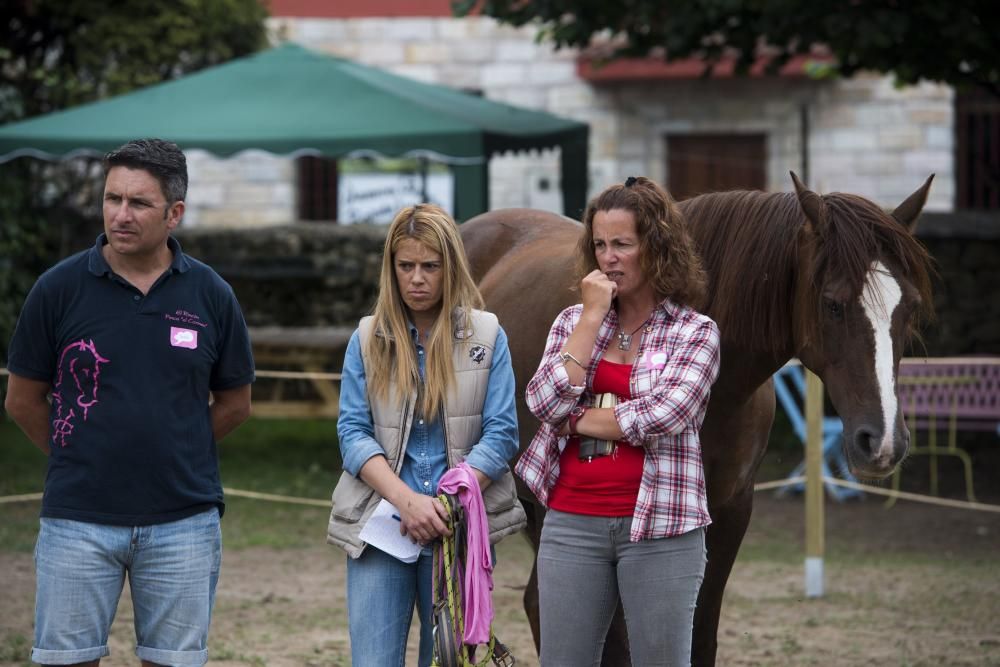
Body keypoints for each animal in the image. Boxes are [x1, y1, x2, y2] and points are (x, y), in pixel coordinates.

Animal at [460, 175, 936, 664]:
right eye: (833, 304)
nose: (882, 442)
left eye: (910, 307)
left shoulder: (728, 511)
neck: (722, 392)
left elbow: (699, 635)